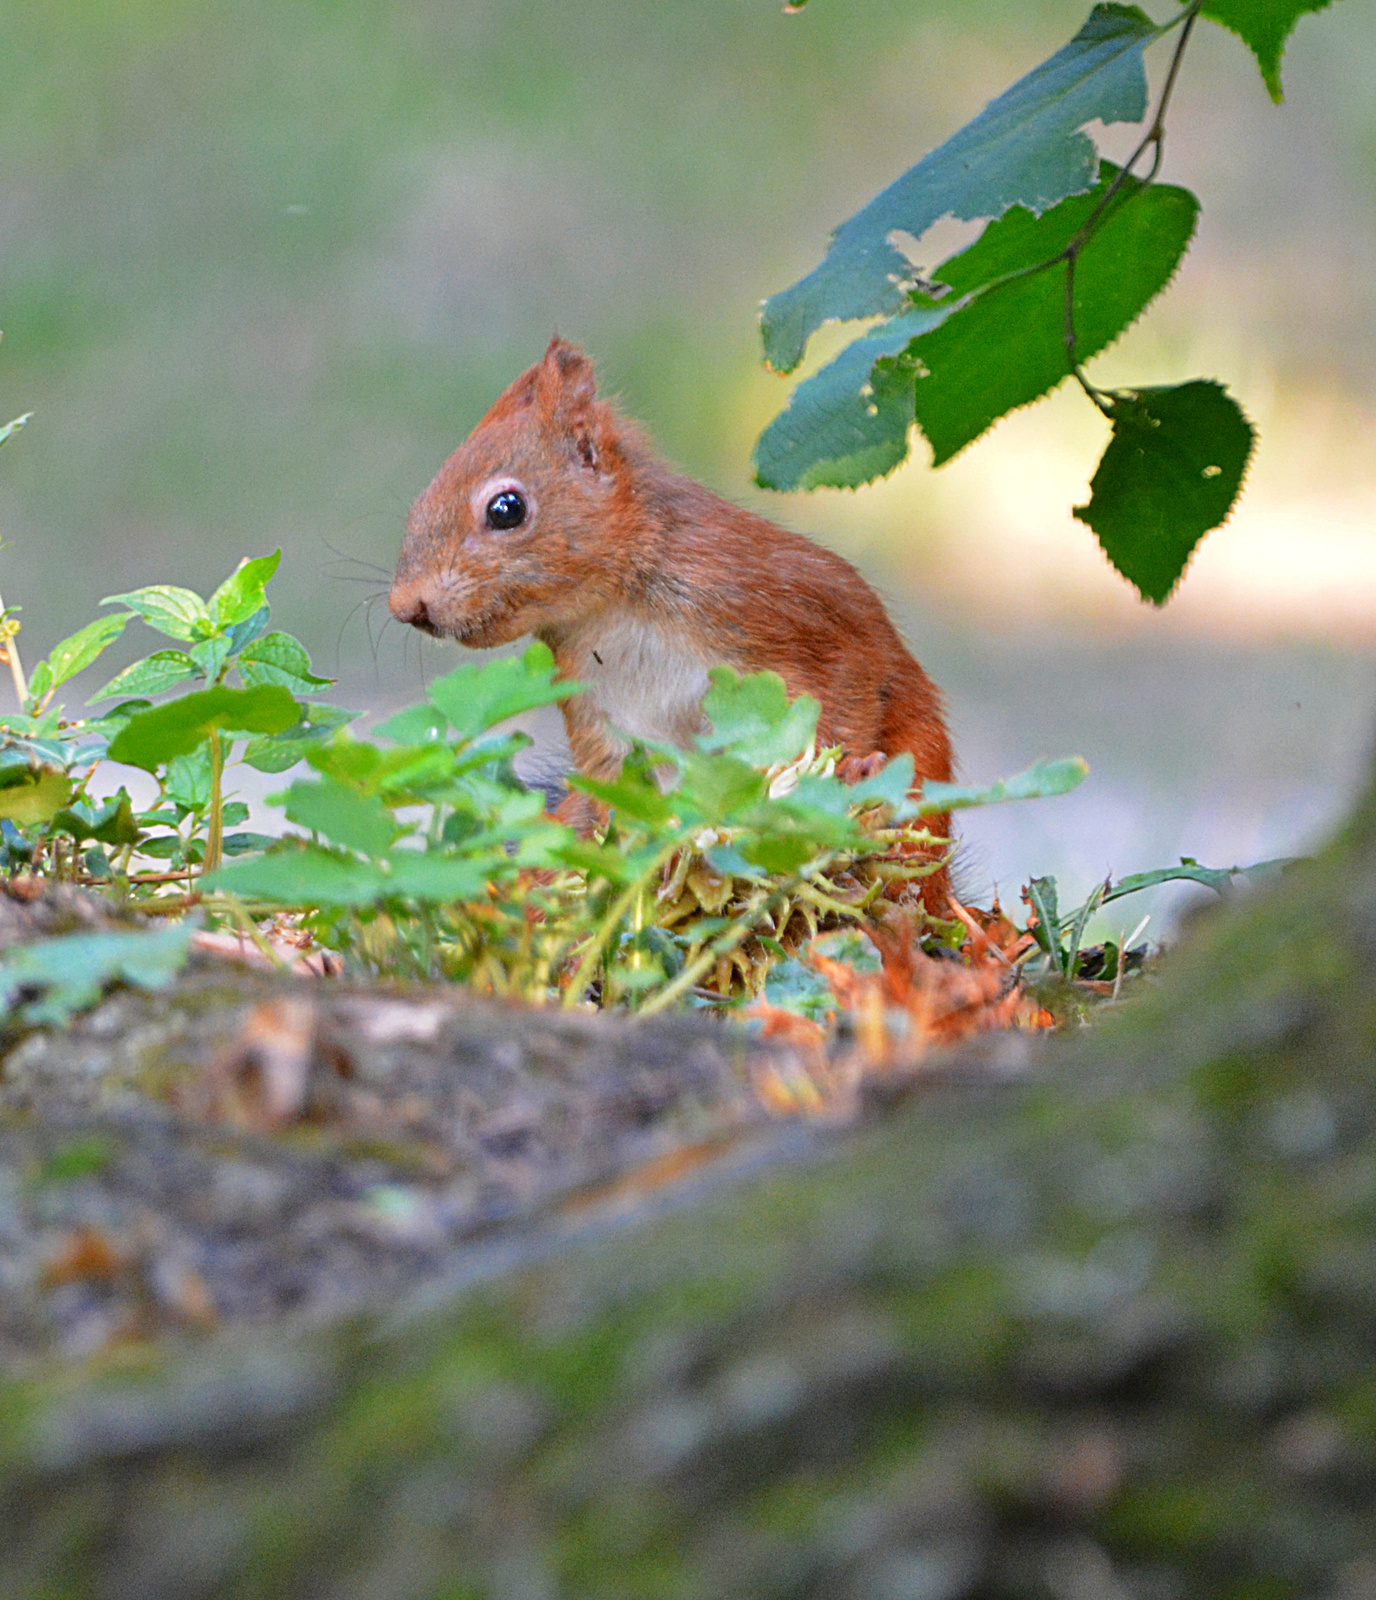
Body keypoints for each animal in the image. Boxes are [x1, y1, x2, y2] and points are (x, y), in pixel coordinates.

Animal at [384, 337, 947, 915]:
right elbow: (618, 793)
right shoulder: (597, 710)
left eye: (506, 508)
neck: (612, 607)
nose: (406, 606)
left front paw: (841, 778)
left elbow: (845, 695)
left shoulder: (792, 612)